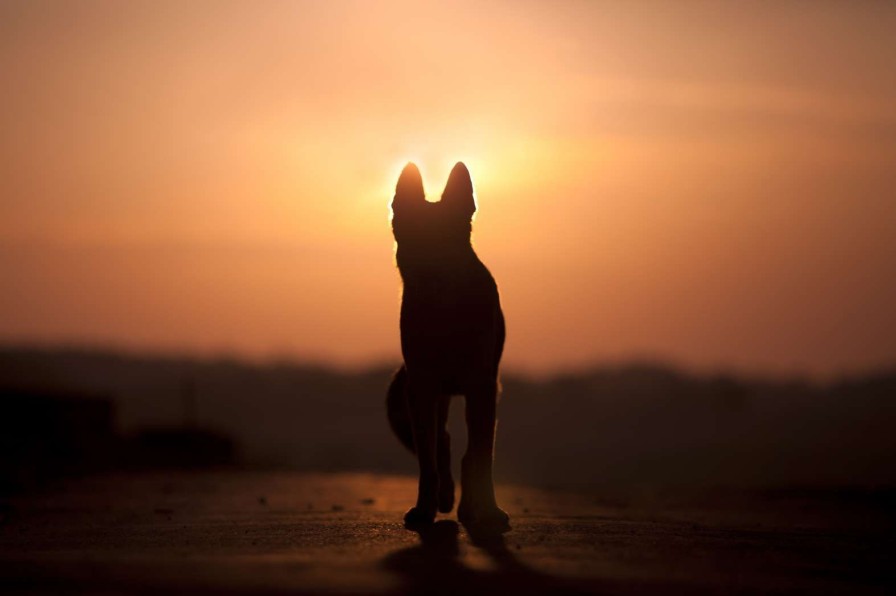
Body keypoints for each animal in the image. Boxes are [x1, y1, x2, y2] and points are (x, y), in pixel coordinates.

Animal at [386, 159, 512, 532]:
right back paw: (445, 498)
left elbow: (481, 455)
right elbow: (428, 461)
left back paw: (470, 507)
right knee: (442, 444)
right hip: (428, 396)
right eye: (413, 239)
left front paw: (489, 511)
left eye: (448, 241)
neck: (446, 311)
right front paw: (424, 509)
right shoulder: (422, 389)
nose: (429, 272)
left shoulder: (482, 387)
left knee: (469, 452)